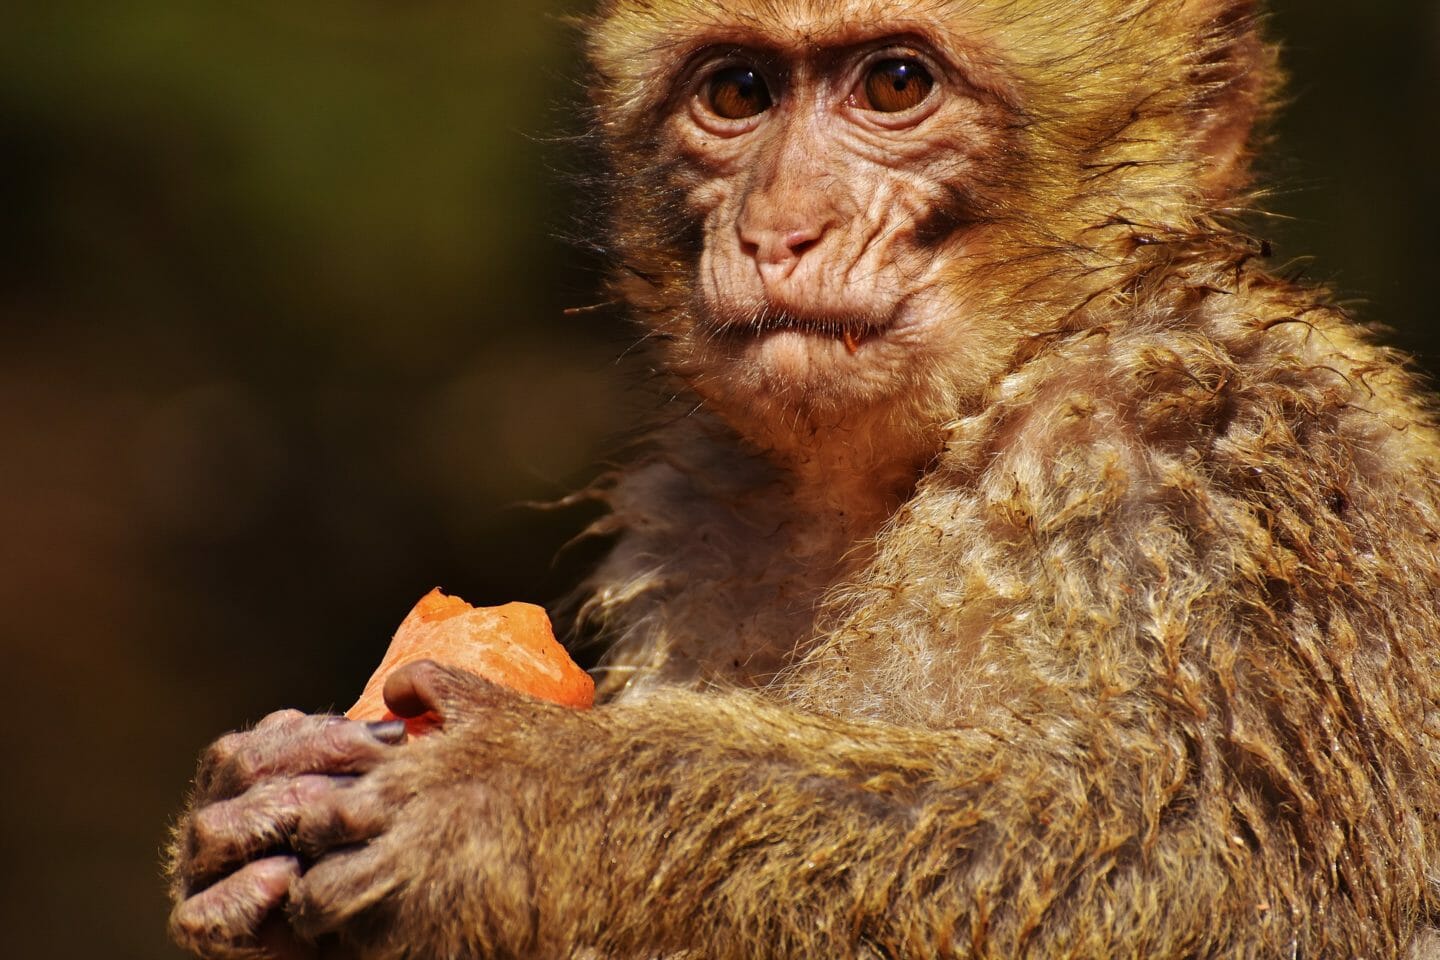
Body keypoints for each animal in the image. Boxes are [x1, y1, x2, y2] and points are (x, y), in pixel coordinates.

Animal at [166, 0, 1440, 957]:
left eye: (894, 82)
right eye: (737, 94)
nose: (777, 227)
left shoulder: (1217, 455)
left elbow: (1211, 882)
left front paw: (526, 802)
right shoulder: (697, 510)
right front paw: (248, 808)